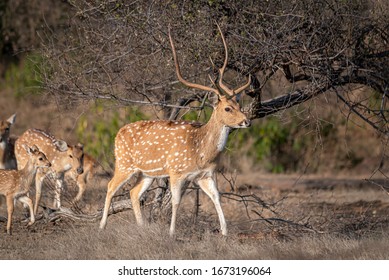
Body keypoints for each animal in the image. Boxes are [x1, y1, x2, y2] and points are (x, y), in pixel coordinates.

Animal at [99, 26, 252, 236]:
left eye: (239, 104)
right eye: (228, 108)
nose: (247, 121)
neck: (201, 151)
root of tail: (118, 133)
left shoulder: (205, 175)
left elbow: (217, 198)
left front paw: (225, 233)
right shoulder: (176, 171)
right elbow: (176, 202)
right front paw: (172, 233)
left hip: (147, 173)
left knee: (133, 192)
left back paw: (142, 227)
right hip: (124, 163)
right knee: (110, 186)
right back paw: (102, 226)